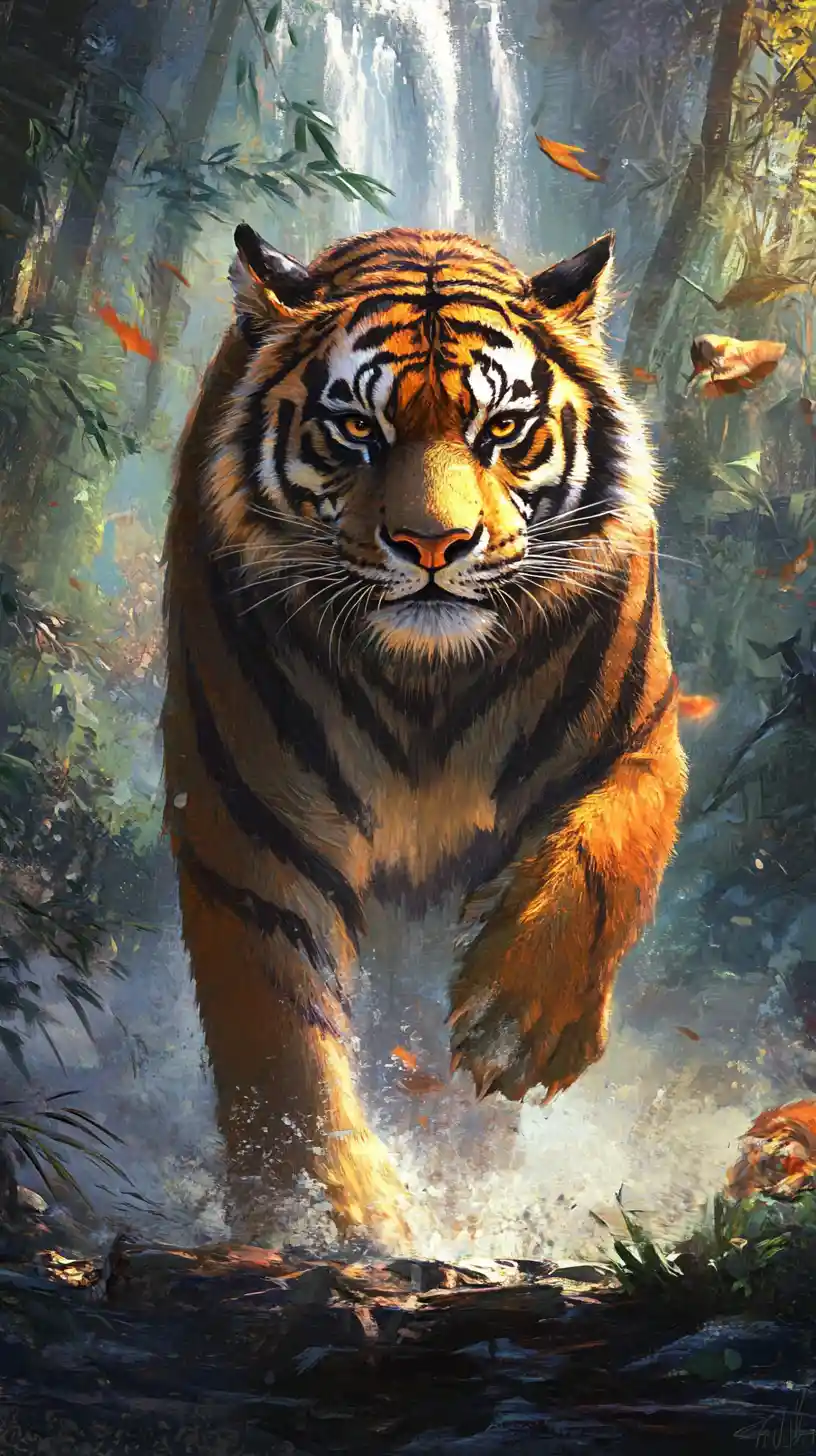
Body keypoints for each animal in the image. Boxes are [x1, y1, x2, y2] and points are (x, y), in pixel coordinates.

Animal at [161, 220, 688, 1247]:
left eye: (502, 430)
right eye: (358, 429)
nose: (435, 546)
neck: (426, 682)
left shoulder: (641, 743)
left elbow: (602, 868)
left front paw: (516, 1030)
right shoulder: (246, 818)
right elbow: (276, 1030)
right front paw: (324, 1217)